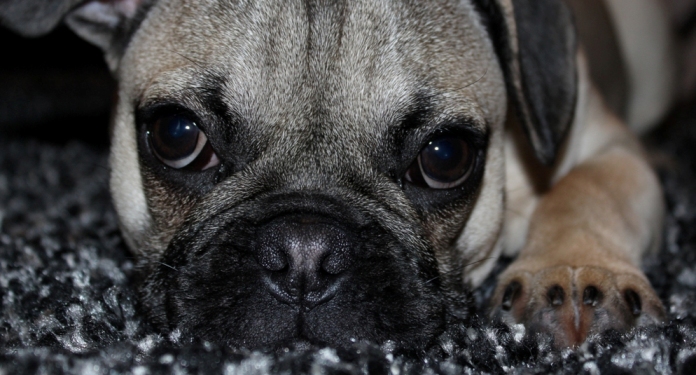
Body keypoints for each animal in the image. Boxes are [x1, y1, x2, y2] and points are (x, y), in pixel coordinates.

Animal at [0, 0, 676, 352]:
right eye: (176, 135)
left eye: (445, 156)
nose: (305, 251)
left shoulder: (608, 146)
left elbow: (586, 192)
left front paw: (573, 276)